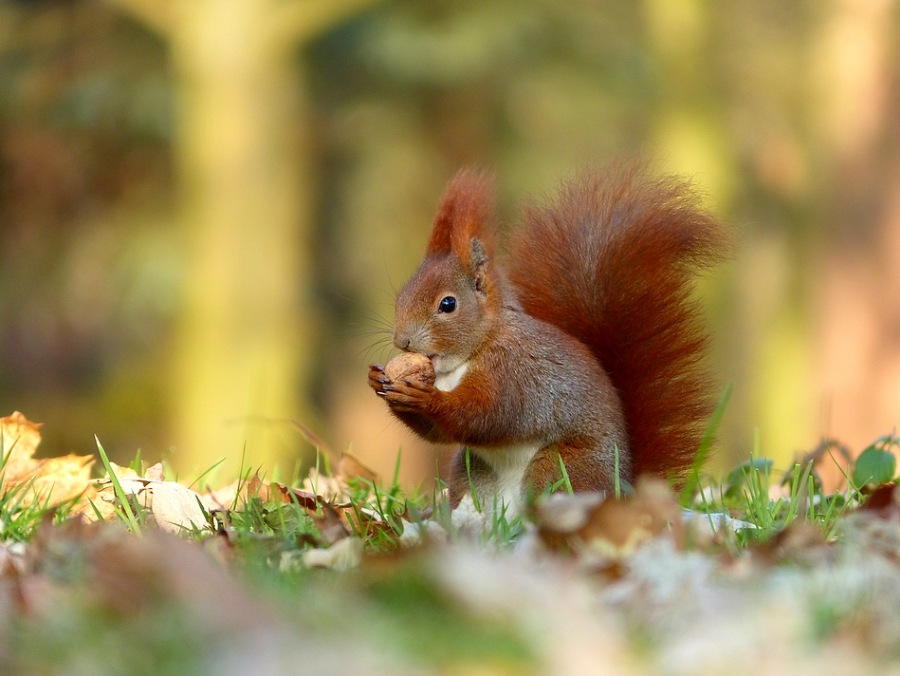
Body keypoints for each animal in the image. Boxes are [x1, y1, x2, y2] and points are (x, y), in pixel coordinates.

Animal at [368, 162, 728, 515]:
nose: (402, 341)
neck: (468, 356)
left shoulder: (515, 373)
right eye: (401, 295)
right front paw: (379, 380)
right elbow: (438, 433)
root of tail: (623, 488)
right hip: (473, 474)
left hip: (559, 466)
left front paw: (425, 398)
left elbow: (484, 415)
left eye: (447, 304)